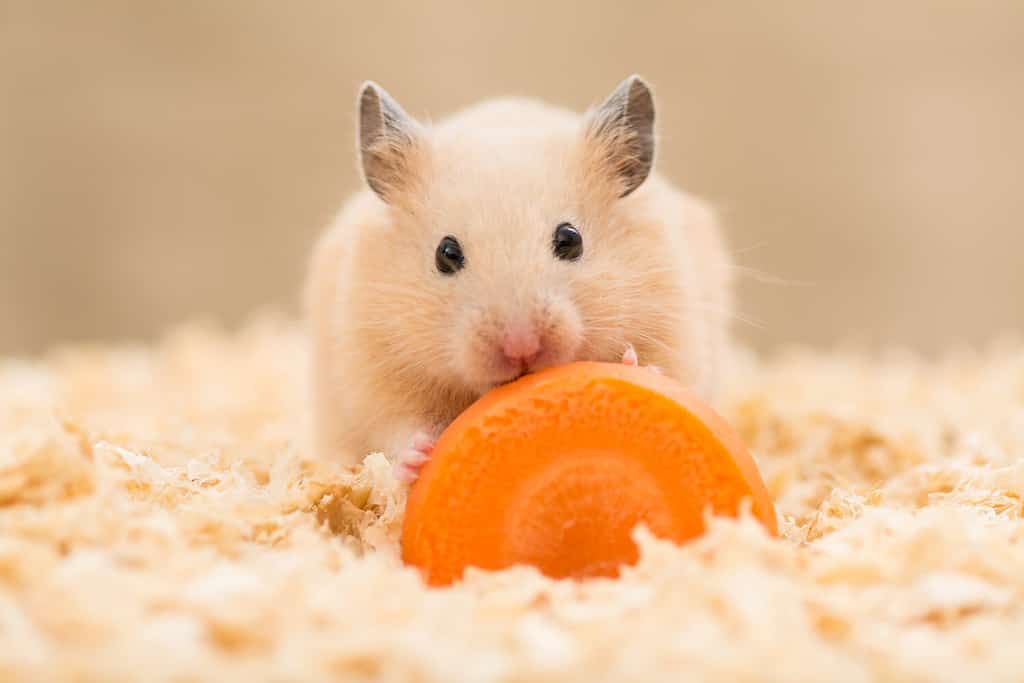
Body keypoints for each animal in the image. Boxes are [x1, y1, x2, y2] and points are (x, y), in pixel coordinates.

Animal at [305, 76, 737, 481]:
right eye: (446, 254)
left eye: (570, 239)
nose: (522, 348)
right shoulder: (372, 363)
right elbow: (394, 423)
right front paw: (419, 457)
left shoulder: (677, 322)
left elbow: (672, 372)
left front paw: (634, 365)